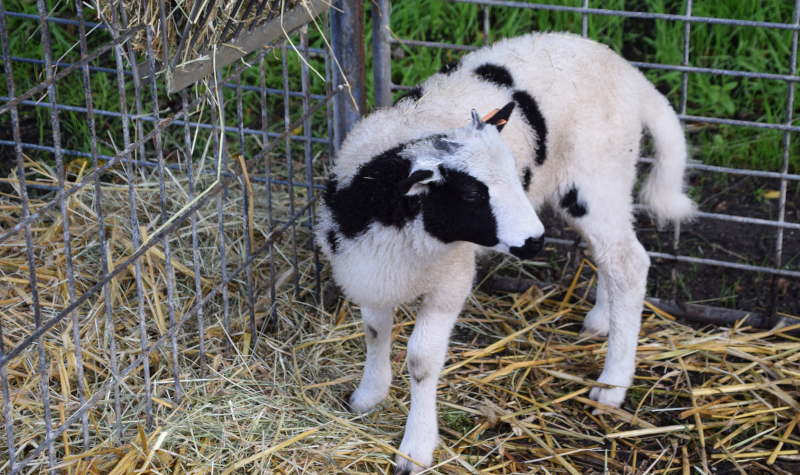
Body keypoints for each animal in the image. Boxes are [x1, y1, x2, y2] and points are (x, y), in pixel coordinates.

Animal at [316, 31, 696, 474]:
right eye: (471, 194)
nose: (536, 241)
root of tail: (631, 74)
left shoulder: (449, 284)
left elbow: (422, 360)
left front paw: (416, 448)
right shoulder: (369, 274)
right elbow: (376, 332)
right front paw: (368, 396)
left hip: (597, 176)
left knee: (628, 263)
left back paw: (613, 383)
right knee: (611, 258)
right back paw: (602, 319)